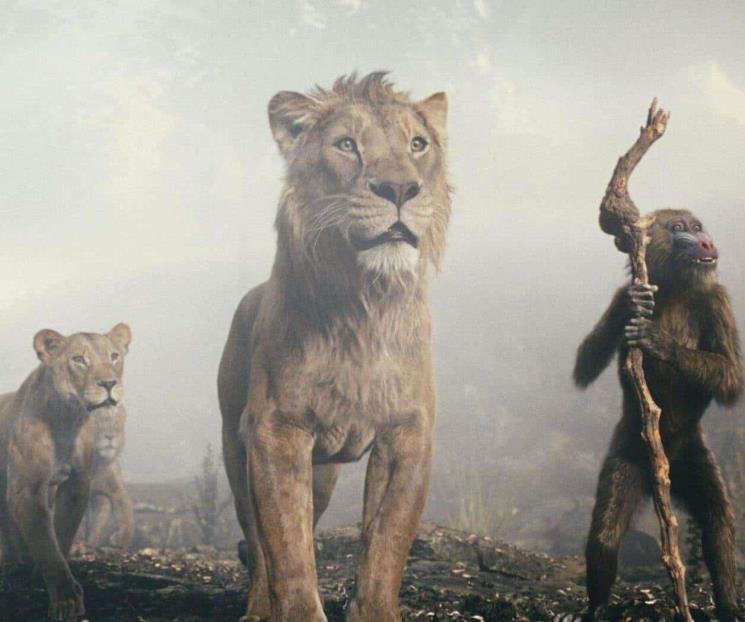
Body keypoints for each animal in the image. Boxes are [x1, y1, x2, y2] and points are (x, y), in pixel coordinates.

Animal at [81, 405, 133, 549]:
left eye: (115, 425)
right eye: (97, 424)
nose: (109, 436)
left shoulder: (115, 490)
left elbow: (125, 512)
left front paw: (122, 539)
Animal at [217, 72, 450, 622]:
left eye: (418, 144)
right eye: (346, 145)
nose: (399, 188)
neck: (364, 305)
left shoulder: (407, 434)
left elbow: (386, 545)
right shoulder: (276, 432)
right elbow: (287, 551)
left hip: (321, 475)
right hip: (236, 448)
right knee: (257, 545)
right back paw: (258, 607)